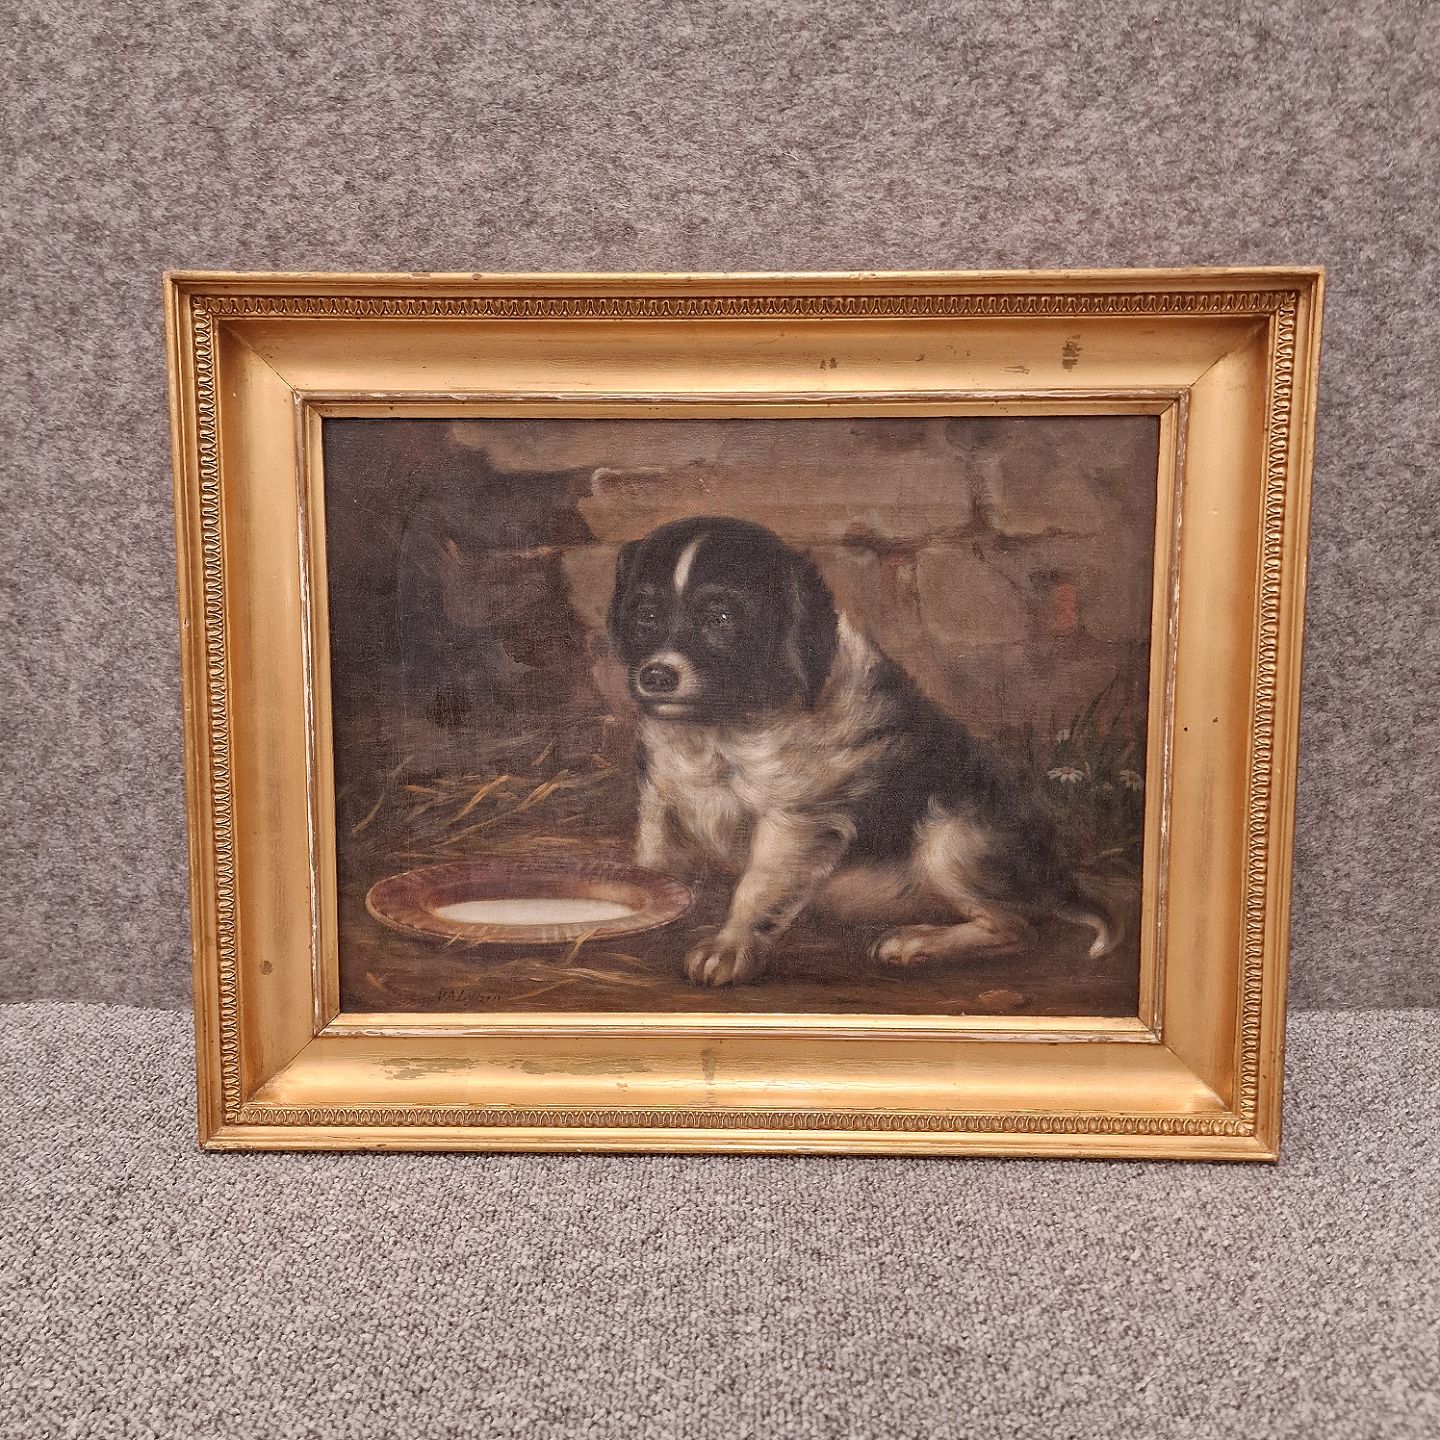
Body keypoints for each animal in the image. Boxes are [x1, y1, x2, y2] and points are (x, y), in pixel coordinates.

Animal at [606, 516, 1118, 986]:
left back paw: (919, 942)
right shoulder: (661, 793)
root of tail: (1054, 880)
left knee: (1017, 927)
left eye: (721, 619)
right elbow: (655, 857)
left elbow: (758, 887)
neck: (722, 725)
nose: (656, 676)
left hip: (956, 838)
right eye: (645, 616)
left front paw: (729, 949)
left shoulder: (798, 819)